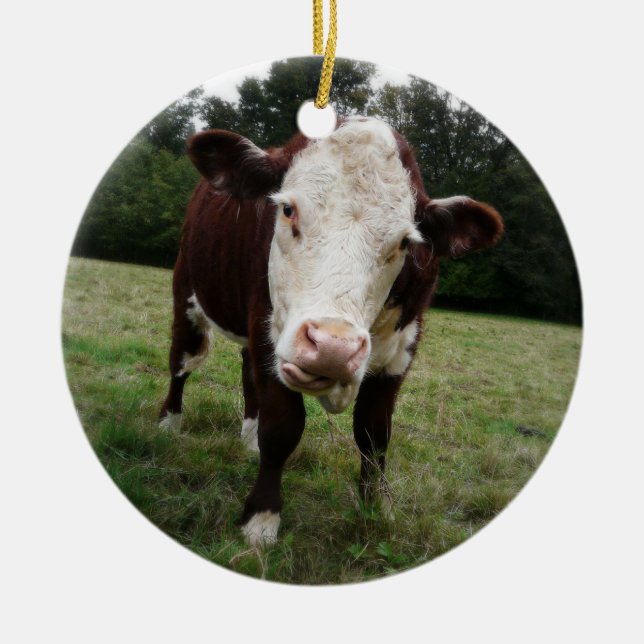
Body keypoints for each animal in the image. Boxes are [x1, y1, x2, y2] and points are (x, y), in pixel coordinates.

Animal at [159, 117, 503, 546]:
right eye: (287, 209)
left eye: (405, 242)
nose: (332, 348)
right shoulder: (268, 331)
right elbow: (282, 428)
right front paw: (261, 519)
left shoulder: (400, 352)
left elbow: (374, 435)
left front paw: (377, 508)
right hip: (187, 291)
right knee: (182, 362)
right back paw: (168, 426)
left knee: (246, 374)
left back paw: (248, 439)